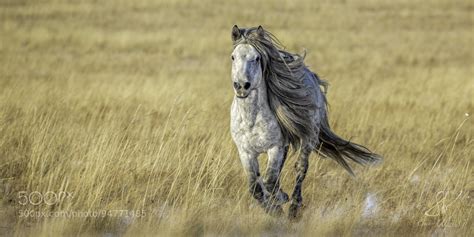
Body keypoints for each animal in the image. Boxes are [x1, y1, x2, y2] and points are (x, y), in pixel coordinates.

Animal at [230, 25, 382, 219]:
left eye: (256, 58)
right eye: (233, 57)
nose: (242, 86)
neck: (251, 120)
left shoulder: (275, 147)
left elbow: (269, 180)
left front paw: (279, 205)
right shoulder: (246, 152)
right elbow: (255, 188)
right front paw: (274, 206)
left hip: (308, 138)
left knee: (300, 168)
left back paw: (294, 208)